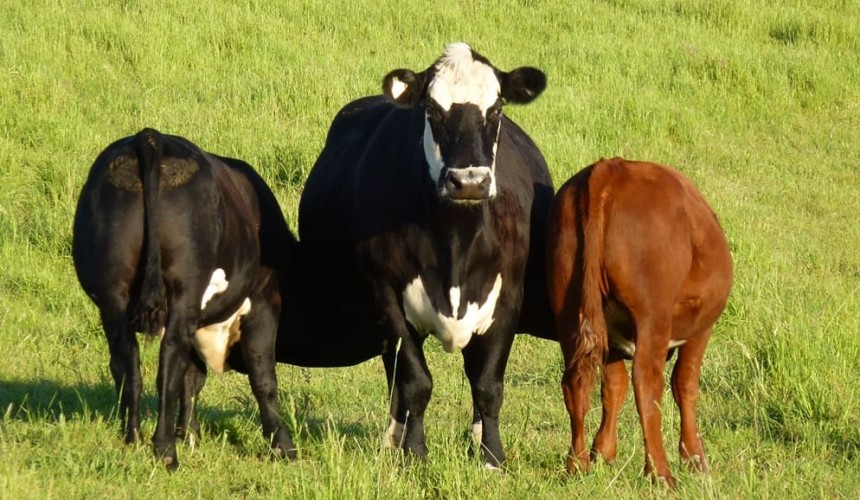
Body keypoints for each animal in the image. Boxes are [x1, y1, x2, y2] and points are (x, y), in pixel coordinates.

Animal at [73, 128, 297, 470]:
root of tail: (150, 138)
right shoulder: (263, 302)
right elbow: (263, 377)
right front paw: (282, 445)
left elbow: (193, 378)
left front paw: (189, 434)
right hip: (185, 291)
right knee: (169, 357)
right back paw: (165, 448)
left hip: (114, 295)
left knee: (126, 360)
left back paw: (133, 436)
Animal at [289, 42, 554, 468]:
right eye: (432, 109)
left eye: (496, 107)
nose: (469, 181)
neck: (456, 243)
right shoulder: (385, 297)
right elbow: (415, 382)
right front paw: (414, 453)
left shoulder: (507, 298)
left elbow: (488, 384)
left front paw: (492, 457)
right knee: (397, 376)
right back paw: (392, 441)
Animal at [545, 157, 733, 488]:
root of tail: (610, 169)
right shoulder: (700, 330)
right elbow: (685, 384)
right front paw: (695, 459)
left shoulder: (612, 338)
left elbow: (613, 386)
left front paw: (603, 451)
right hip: (651, 317)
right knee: (647, 384)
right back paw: (660, 473)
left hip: (568, 310)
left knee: (575, 382)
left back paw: (577, 465)